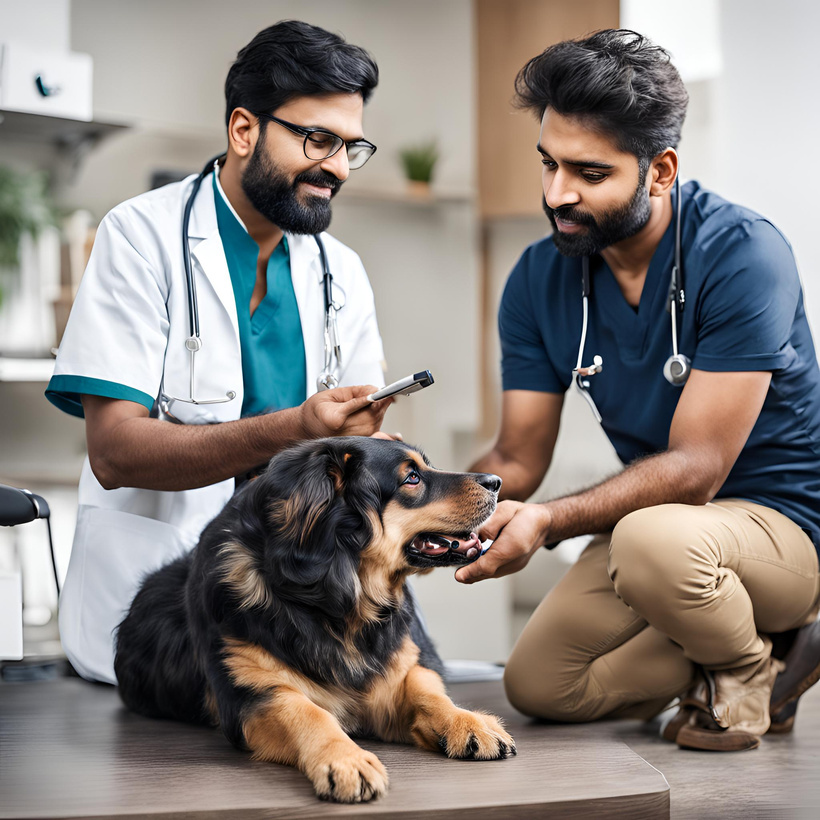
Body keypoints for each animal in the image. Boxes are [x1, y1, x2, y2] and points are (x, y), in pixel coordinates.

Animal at [113, 438, 516, 804]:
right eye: (412, 478)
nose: (497, 482)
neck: (333, 602)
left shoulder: (398, 673)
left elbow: (425, 687)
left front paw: (467, 721)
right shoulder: (250, 694)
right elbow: (306, 711)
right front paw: (346, 759)